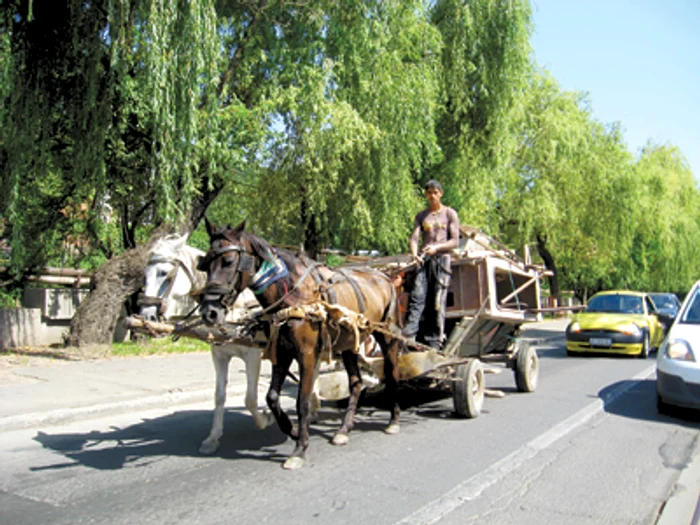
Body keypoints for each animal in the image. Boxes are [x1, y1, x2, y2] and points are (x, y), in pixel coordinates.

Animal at [139, 234, 274, 454]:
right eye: (144, 275)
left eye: (164, 273)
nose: (146, 315)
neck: (233, 308)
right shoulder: (219, 355)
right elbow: (219, 395)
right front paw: (213, 437)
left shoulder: (252, 356)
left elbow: (250, 398)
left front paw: (265, 420)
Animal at [197, 219, 404, 468]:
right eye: (204, 264)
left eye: (228, 261)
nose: (209, 312)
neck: (293, 296)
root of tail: (384, 277)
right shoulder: (281, 351)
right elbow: (271, 397)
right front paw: (292, 430)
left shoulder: (306, 353)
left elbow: (302, 401)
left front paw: (300, 448)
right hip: (349, 344)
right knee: (356, 383)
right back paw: (344, 429)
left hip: (389, 338)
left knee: (392, 374)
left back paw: (393, 419)